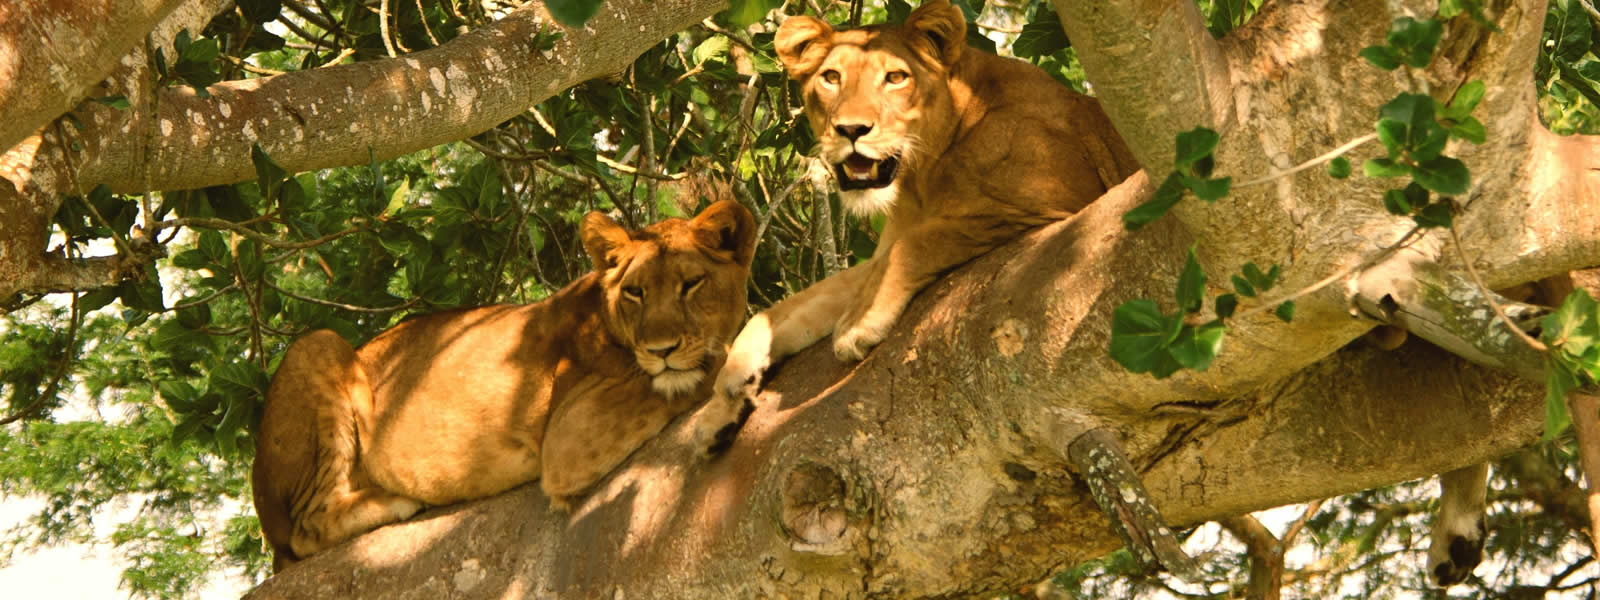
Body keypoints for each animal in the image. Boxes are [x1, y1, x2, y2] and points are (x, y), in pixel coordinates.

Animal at [249, 200, 755, 569]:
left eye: (692, 284)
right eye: (635, 292)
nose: (661, 349)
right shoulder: (570, 437)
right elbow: (708, 366)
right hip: (318, 344)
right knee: (307, 529)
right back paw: (397, 500)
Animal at [697, 0, 1139, 454]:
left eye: (895, 77)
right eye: (831, 77)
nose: (851, 130)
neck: (921, 176)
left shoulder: (1052, 202)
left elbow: (915, 244)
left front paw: (858, 324)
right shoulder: (881, 249)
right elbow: (788, 308)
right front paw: (722, 399)